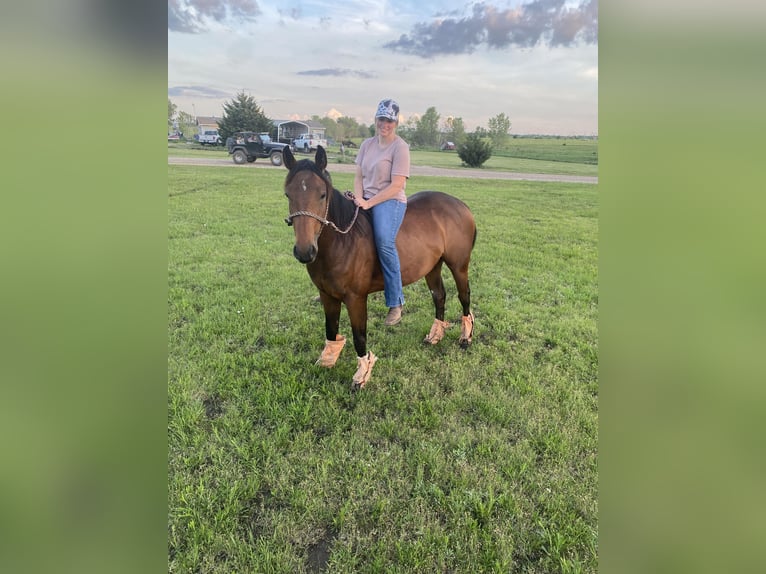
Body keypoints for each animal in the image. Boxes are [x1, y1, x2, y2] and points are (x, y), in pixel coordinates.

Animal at [284, 145, 474, 392]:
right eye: (288, 194)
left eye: (322, 194)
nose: (305, 251)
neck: (342, 241)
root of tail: (460, 205)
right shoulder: (327, 295)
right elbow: (330, 329)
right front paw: (327, 361)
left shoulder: (355, 298)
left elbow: (359, 337)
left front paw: (361, 376)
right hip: (432, 266)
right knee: (439, 296)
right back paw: (435, 336)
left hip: (459, 266)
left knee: (464, 296)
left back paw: (466, 337)